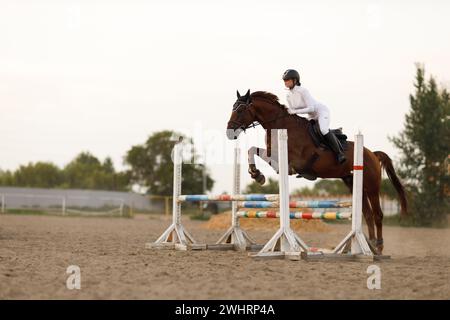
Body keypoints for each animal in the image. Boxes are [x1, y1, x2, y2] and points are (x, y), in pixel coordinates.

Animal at [227, 89, 406, 254]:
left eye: (240, 110)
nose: (229, 132)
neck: (281, 126)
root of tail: (372, 154)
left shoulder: (294, 162)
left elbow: (277, 163)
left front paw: (258, 174)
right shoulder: (272, 154)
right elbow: (252, 150)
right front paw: (256, 174)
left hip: (372, 187)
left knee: (377, 214)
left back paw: (378, 246)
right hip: (353, 184)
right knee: (367, 214)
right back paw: (370, 245)